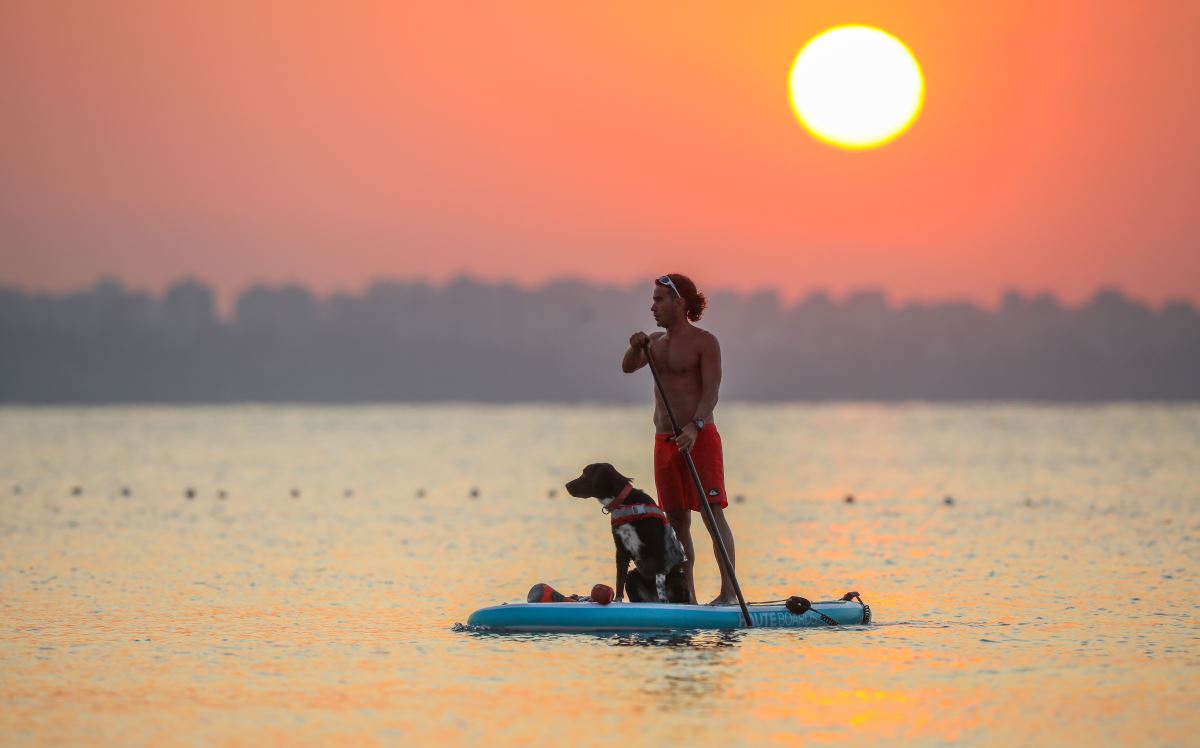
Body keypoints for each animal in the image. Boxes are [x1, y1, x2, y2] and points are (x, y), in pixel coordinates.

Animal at [561, 463, 686, 602]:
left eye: (585, 474)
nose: (566, 485)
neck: (624, 503)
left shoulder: (658, 545)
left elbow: (659, 581)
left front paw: (663, 600)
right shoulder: (621, 549)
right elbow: (619, 578)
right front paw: (617, 600)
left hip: (678, 579)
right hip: (632, 578)